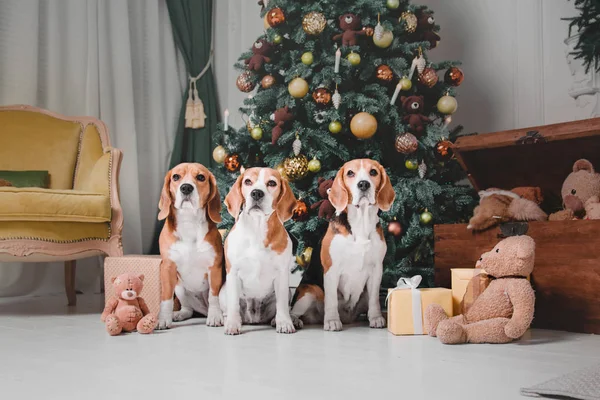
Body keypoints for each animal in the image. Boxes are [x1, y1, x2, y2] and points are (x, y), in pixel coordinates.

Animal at [157, 161, 225, 330]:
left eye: (201, 177)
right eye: (176, 177)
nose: (186, 187)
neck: (189, 222)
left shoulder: (214, 268)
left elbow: (214, 296)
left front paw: (215, 316)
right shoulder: (167, 267)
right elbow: (166, 298)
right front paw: (163, 319)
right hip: (179, 287)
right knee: (187, 309)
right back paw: (179, 314)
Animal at [221, 166, 298, 334]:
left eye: (272, 183)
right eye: (248, 181)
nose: (256, 193)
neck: (257, 229)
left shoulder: (282, 274)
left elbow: (282, 305)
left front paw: (284, 322)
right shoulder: (233, 272)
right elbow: (233, 304)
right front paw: (232, 324)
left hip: (288, 290)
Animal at [290, 159, 396, 332]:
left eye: (373, 172)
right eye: (350, 173)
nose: (363, 184)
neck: (360, 223)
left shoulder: (376, 270)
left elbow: (374, 299)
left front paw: (376, 318)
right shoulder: (331, 270)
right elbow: (332, 299)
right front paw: (332, 321)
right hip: (310, 291)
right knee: (293, 311)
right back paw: (293, 321)